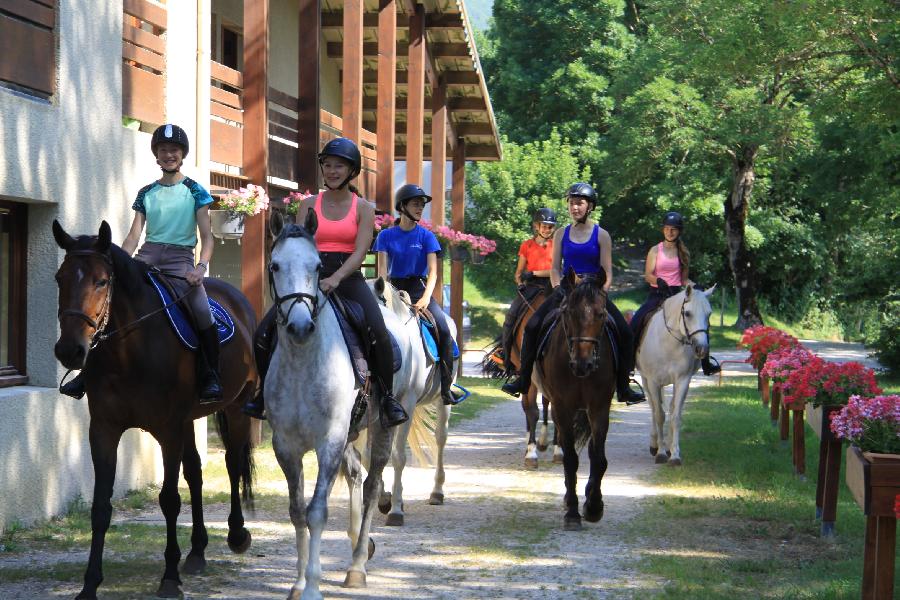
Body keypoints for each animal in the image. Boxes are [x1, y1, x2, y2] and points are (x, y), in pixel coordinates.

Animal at [52, 221, 258, 600]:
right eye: (61, 278)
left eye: (101, 281)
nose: (70, 350)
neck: (129, 351)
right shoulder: (103, 429)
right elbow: (101, 506)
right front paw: (89, 584)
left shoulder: (168, 430)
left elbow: (169, 500)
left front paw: (169, 578)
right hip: (190, 419)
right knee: (195, 472)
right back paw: (197, 552)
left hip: (236, 408)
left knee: (233, 464)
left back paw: (237, 535)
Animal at [264, 213, 436, 596]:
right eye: (275, 265)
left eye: (316, 267)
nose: (300, 327)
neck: (303, 361)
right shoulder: (285, 446)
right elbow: (297, 511)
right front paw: (298, 582)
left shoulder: (328, 440)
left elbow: (317, 511)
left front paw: (313, 586)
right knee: (357, 474)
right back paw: (360, 544)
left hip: (384, 423)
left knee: (373, 484)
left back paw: (357, 565)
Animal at [370, 276, 460, 524]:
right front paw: (384, 498)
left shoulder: (406, 404)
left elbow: (398, 457)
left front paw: (396, 509)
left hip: (442, 401)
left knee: (440, 438)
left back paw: (437, 492)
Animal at [536, 270, 620, 528]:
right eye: (569, 312)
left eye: (601, 314)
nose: (583, 364)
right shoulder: (562, 408)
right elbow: (570, 459)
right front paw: (573, 512)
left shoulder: (599, 407)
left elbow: (599, 458)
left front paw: (593, 506)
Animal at [636, 284, 712, 466]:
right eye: (688, 313)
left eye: (709, 314)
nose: (702, 349)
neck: (669, 342)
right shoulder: (653, 381)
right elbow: (659, 415)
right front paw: (661, 453)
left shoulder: (683, 380)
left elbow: (675, 416)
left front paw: (675, 454)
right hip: (646, 380)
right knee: (653, 408)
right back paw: (654, 445)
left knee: (669, 408)